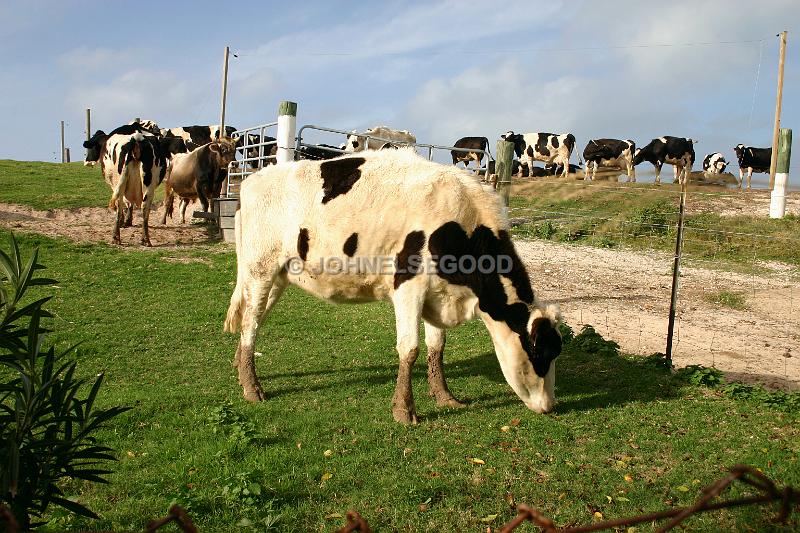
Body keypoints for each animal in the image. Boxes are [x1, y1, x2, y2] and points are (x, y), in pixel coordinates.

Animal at [223, 148, 564, 422]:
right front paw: (404, 410)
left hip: (277, 277)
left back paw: (240, 372)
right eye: (540, 353)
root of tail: (251, 181)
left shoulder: (437, 293)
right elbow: (410, 348)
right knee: (251, 322)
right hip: (260, 269)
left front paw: (445, 397)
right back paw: (253, 388)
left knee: (253, 318)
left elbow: (436, 347)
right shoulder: (408, 285)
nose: (550, 405)